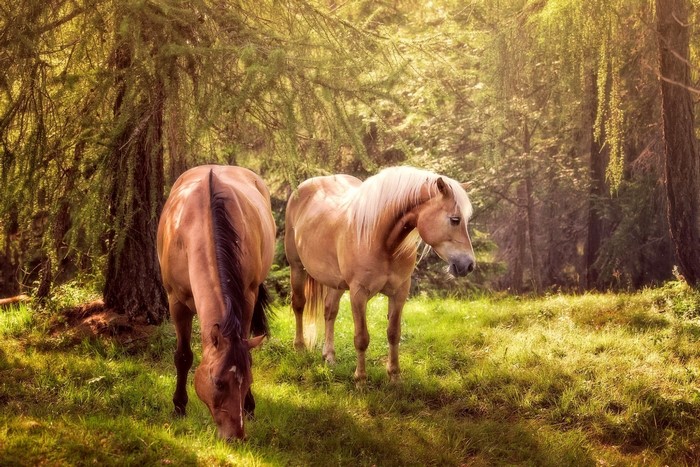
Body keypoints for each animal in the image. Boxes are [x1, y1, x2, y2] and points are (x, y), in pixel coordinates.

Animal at [157, 165, 275, 440]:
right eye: (219, 383)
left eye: (248, 381)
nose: (237, 436)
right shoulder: (176, 302)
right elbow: (183, 356)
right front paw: (179, 407)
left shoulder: (247, 297)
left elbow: (247, 354)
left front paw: (250, 407)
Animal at [284, 165, 475, 382]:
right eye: (455, 220)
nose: (469, 265)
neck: (381, 240)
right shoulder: (358, 294)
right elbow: (361, 338)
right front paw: (360, 379)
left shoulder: (399, 292)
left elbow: (393, 333)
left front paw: (394, 375)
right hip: (297, 267)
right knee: (299, 305)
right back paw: (299, 348)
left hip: (336, 282)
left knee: (329, 311)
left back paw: (329, 356)